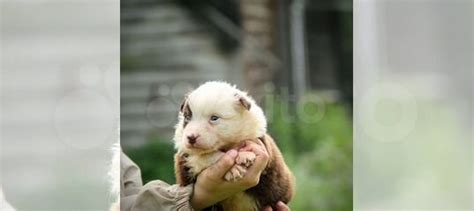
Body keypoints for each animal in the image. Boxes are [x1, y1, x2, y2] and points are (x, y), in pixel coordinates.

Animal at [172, 81, 294, 211]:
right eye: (187, 117)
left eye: (214, 118)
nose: (191, 137)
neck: (226, 145)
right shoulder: (185, 158)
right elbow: (207, 157)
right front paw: (233, 169)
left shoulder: (260, 141)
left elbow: (248, 142)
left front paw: (245, 155)